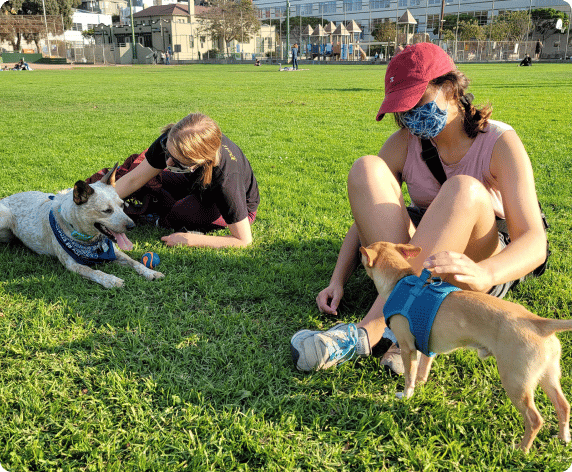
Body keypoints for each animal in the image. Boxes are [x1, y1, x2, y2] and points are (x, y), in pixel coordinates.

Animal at [362, 242, 572, 452]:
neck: (400, 280)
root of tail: (540, 323)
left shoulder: (407, 349)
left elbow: (409, 377)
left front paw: (406, 396)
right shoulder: (428, 348)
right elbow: (422, 371)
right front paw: (420, 387)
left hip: (516, 382)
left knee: (534, 419)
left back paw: (521, 449)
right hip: (547, 376)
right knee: (563, 405)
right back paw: (563, 437)